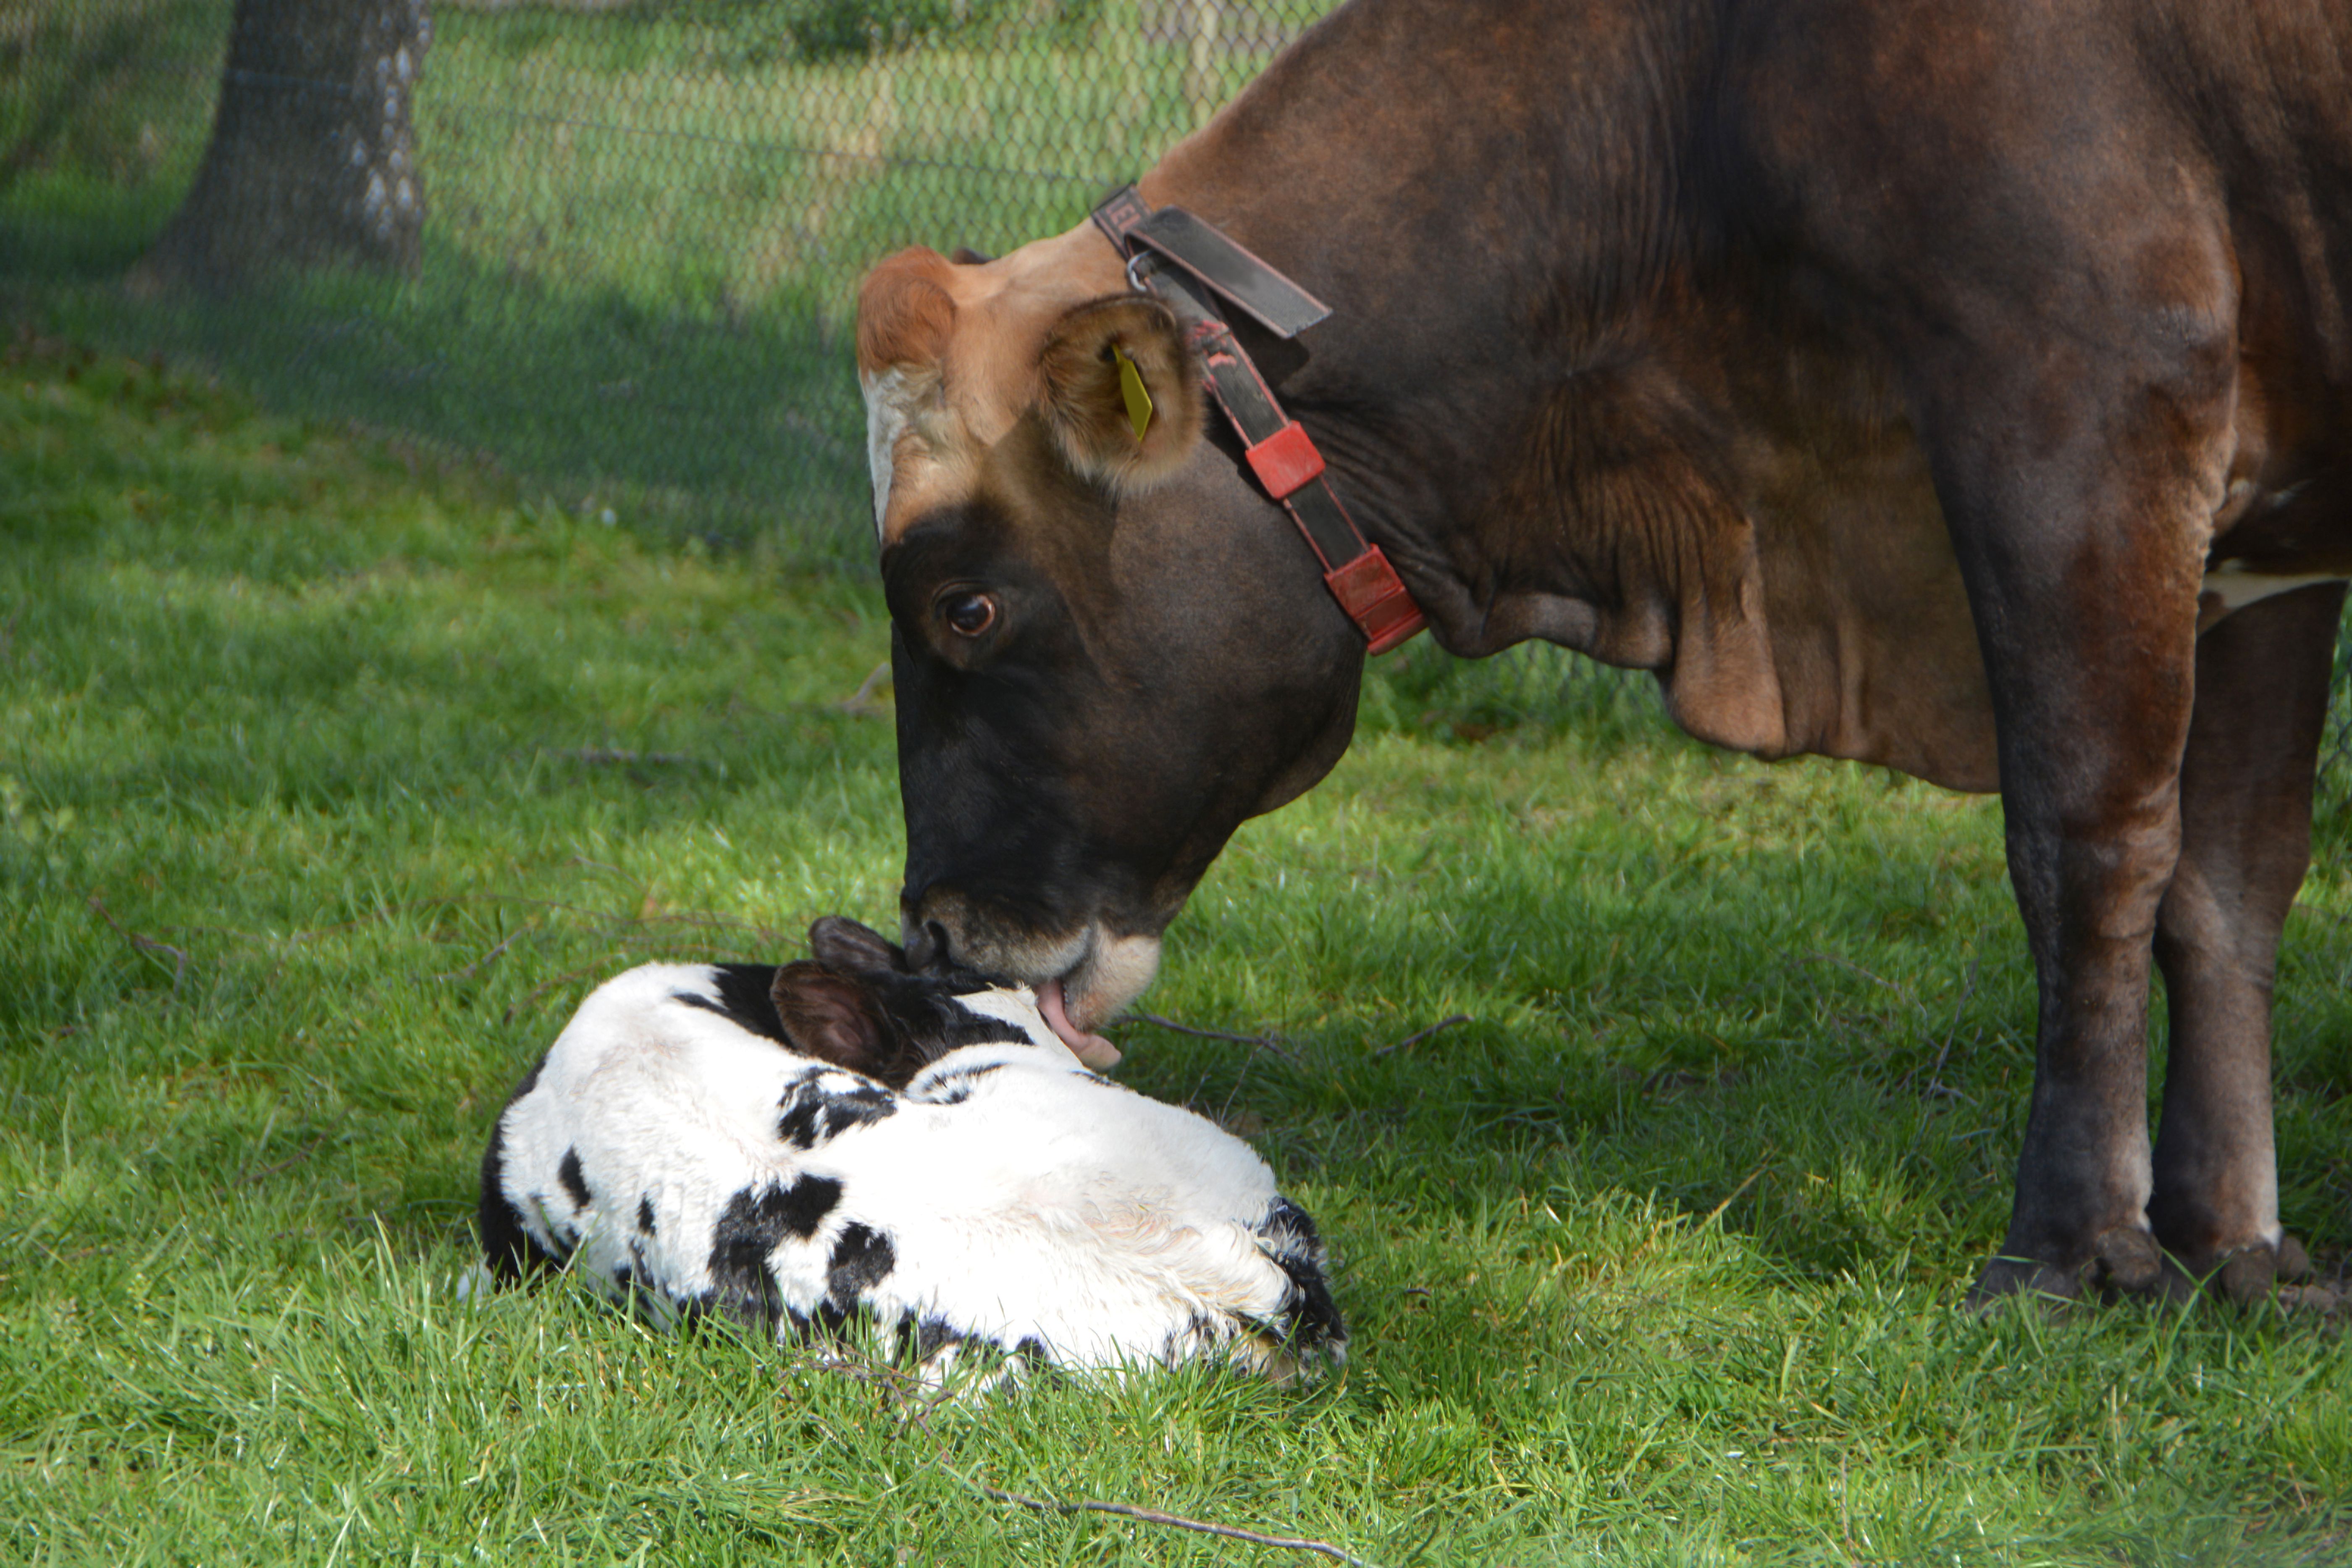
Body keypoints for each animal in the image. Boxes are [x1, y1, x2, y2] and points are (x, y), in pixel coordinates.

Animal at [854, 0, 2352, 1307]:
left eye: (965, 607)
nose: (934, 930)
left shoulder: (2085, 402)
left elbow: (2089, 847)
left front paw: (2072, 1246)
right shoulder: (2268, 518)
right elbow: (2230, 879)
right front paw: (2238, 1244)